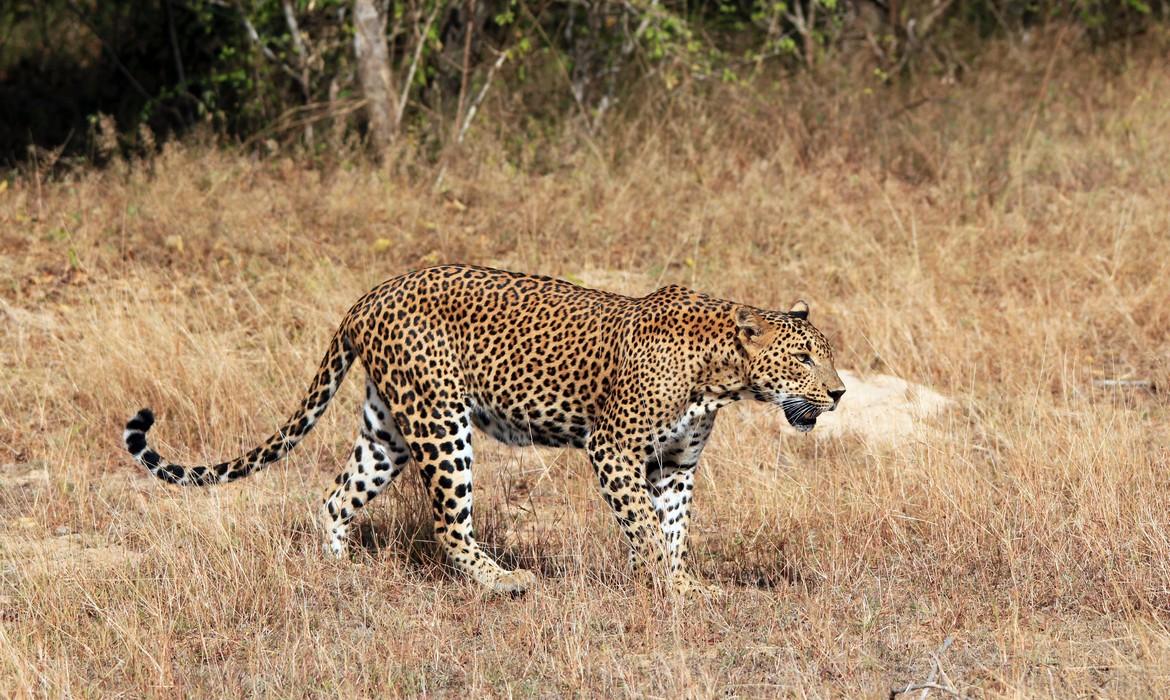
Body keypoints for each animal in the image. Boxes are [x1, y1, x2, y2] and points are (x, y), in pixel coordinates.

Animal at [123, 264, 845, 596]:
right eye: (806, 357)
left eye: (826, 355)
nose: (839, 393)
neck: (722, 375)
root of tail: (369, 296)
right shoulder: (612, 450)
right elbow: (644, 524)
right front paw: (665, 586)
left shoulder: (674, 464)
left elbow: (671, 528)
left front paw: (681, 585)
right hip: (442, 423)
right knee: (449, 523)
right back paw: (504, 582)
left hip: (388, 428)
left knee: (335, 496)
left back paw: (338, 570)